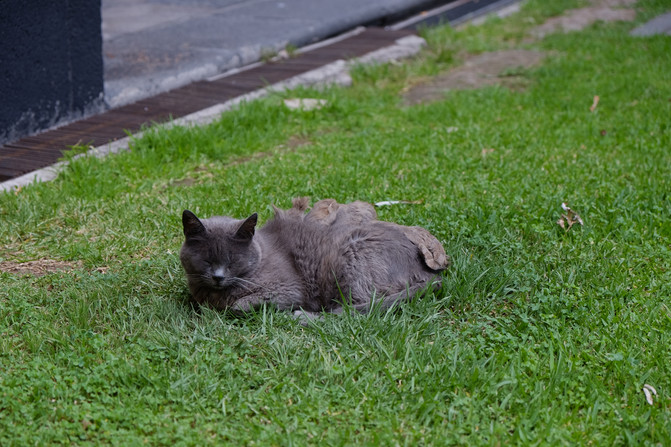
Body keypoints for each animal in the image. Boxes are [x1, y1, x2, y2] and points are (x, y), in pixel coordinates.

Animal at [181, 199, 448, 322]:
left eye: (232, 259)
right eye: (207, 259)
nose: (218, 276)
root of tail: (431, 274)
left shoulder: (288, 289)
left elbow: (238, 305)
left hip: (348, 259)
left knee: (352, 311)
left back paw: (304, 317)